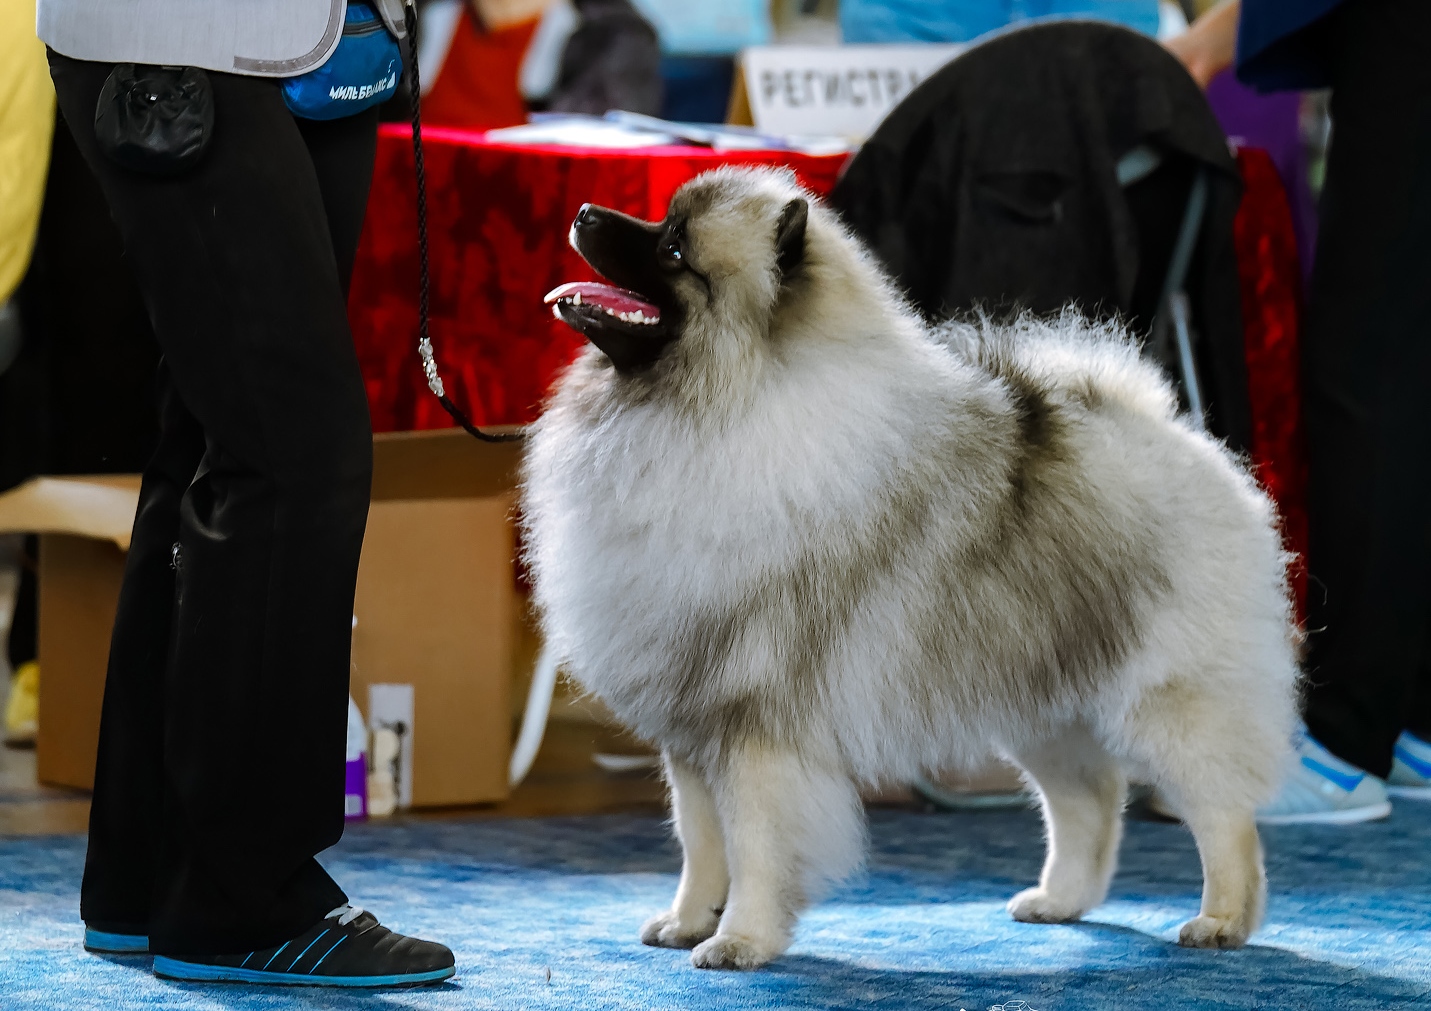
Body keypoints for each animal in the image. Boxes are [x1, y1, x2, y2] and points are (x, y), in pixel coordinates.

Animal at [523, 167, 1299, 968]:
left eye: (674, 248)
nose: (584, 212)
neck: (725, 407)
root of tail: (1170, 433)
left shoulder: (757, 727)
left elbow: (756, 845)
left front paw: (740, 938)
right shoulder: (694, 729)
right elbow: (701, 842)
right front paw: (687, 920)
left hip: (1168, 704)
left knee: (1222, 815)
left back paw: (1222, 920)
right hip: (1046, 703)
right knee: (1089, 800)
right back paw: (1059, 901)